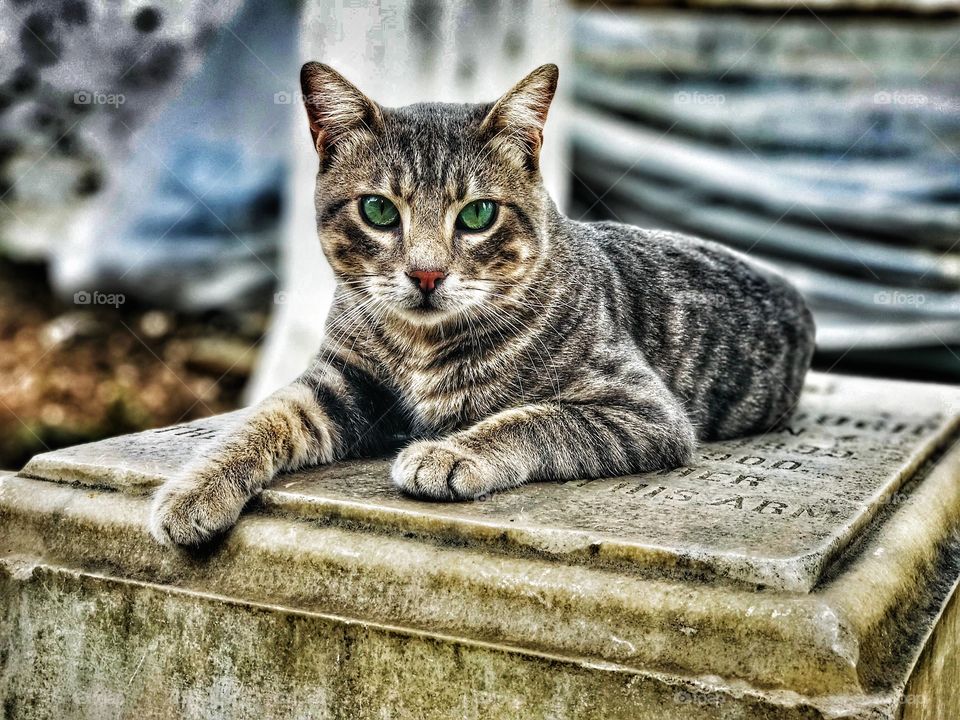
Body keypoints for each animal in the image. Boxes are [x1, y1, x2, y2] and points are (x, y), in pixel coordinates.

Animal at [146, 63, 812, 544]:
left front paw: (447, 453)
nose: (426, 273)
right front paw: (193, 489)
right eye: (379, 209)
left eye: (477, 214)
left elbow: (535, 419)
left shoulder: (642, 409)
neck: (420, 346)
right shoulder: (339, 382)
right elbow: (261, 420)